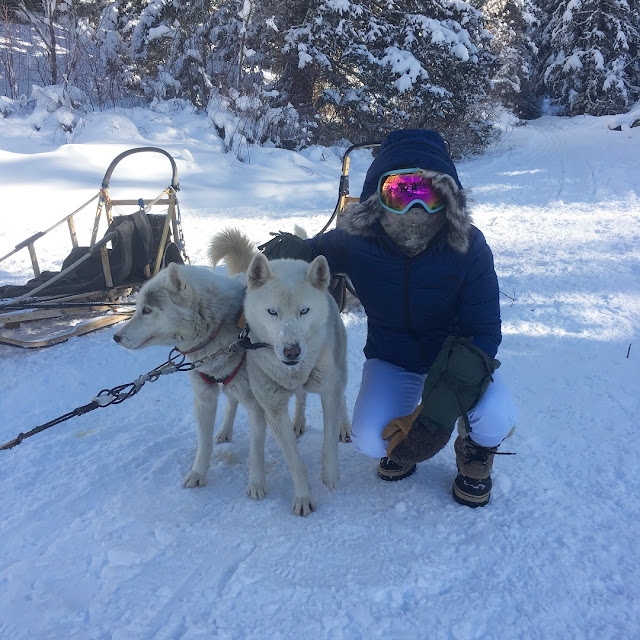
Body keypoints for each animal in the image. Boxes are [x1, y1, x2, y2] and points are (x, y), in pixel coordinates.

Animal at [112, 262, 307, 501]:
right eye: (138, 307)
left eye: (147, 310)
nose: (116, 337)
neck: (217, 331)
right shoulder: (204, 399)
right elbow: (203, 444)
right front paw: (198, 474)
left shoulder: (257, 405)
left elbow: (255, 450)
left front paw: (256, 483)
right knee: (232, 400)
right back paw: (225, 430)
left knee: (301, 395)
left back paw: (298, 423)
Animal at [209, 229, 351, 516]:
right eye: (272, 312)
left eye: (304, 310)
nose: (291, 351)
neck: (295, 372)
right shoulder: (272, 409)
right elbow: (295, 461)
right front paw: (303, 497)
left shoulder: (328, 391)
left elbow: (329, 440)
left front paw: (330, 474)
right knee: (299, 397)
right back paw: (296, 422)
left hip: (338, 371)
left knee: (341, 398)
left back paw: (344, 426)